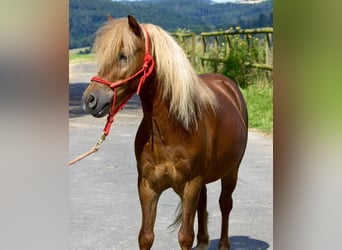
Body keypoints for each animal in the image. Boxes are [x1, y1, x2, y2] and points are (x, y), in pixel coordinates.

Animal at [83, 15, 248, 250]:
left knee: (225, 204)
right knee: (204, 202)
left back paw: (224, 244)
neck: (170, 130)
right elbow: (146, 236)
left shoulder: (190, 186)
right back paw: (203, 242)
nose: (90, 100)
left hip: (231, 171)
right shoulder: (147, 187)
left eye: (123, 55)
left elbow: (185, 236)